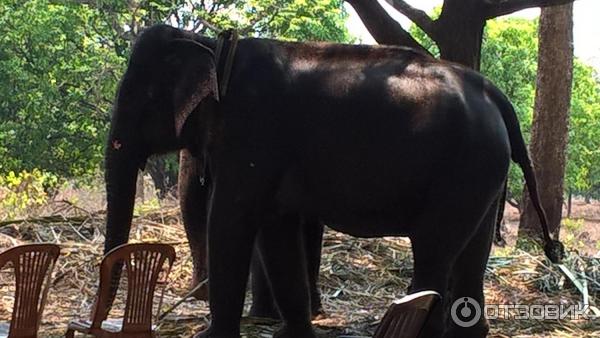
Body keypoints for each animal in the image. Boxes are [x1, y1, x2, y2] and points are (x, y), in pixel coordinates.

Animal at [104, 24, 564, 338]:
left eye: (143, 98)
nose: (102, 318)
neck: (216, 48)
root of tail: (495, 94)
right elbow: (276, 230)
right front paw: (291, 334)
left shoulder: (252, 135)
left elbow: (233, 221)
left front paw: (211, 336)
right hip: (483, 173)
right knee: (472, 252)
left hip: (462, 170)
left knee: (434, 250)